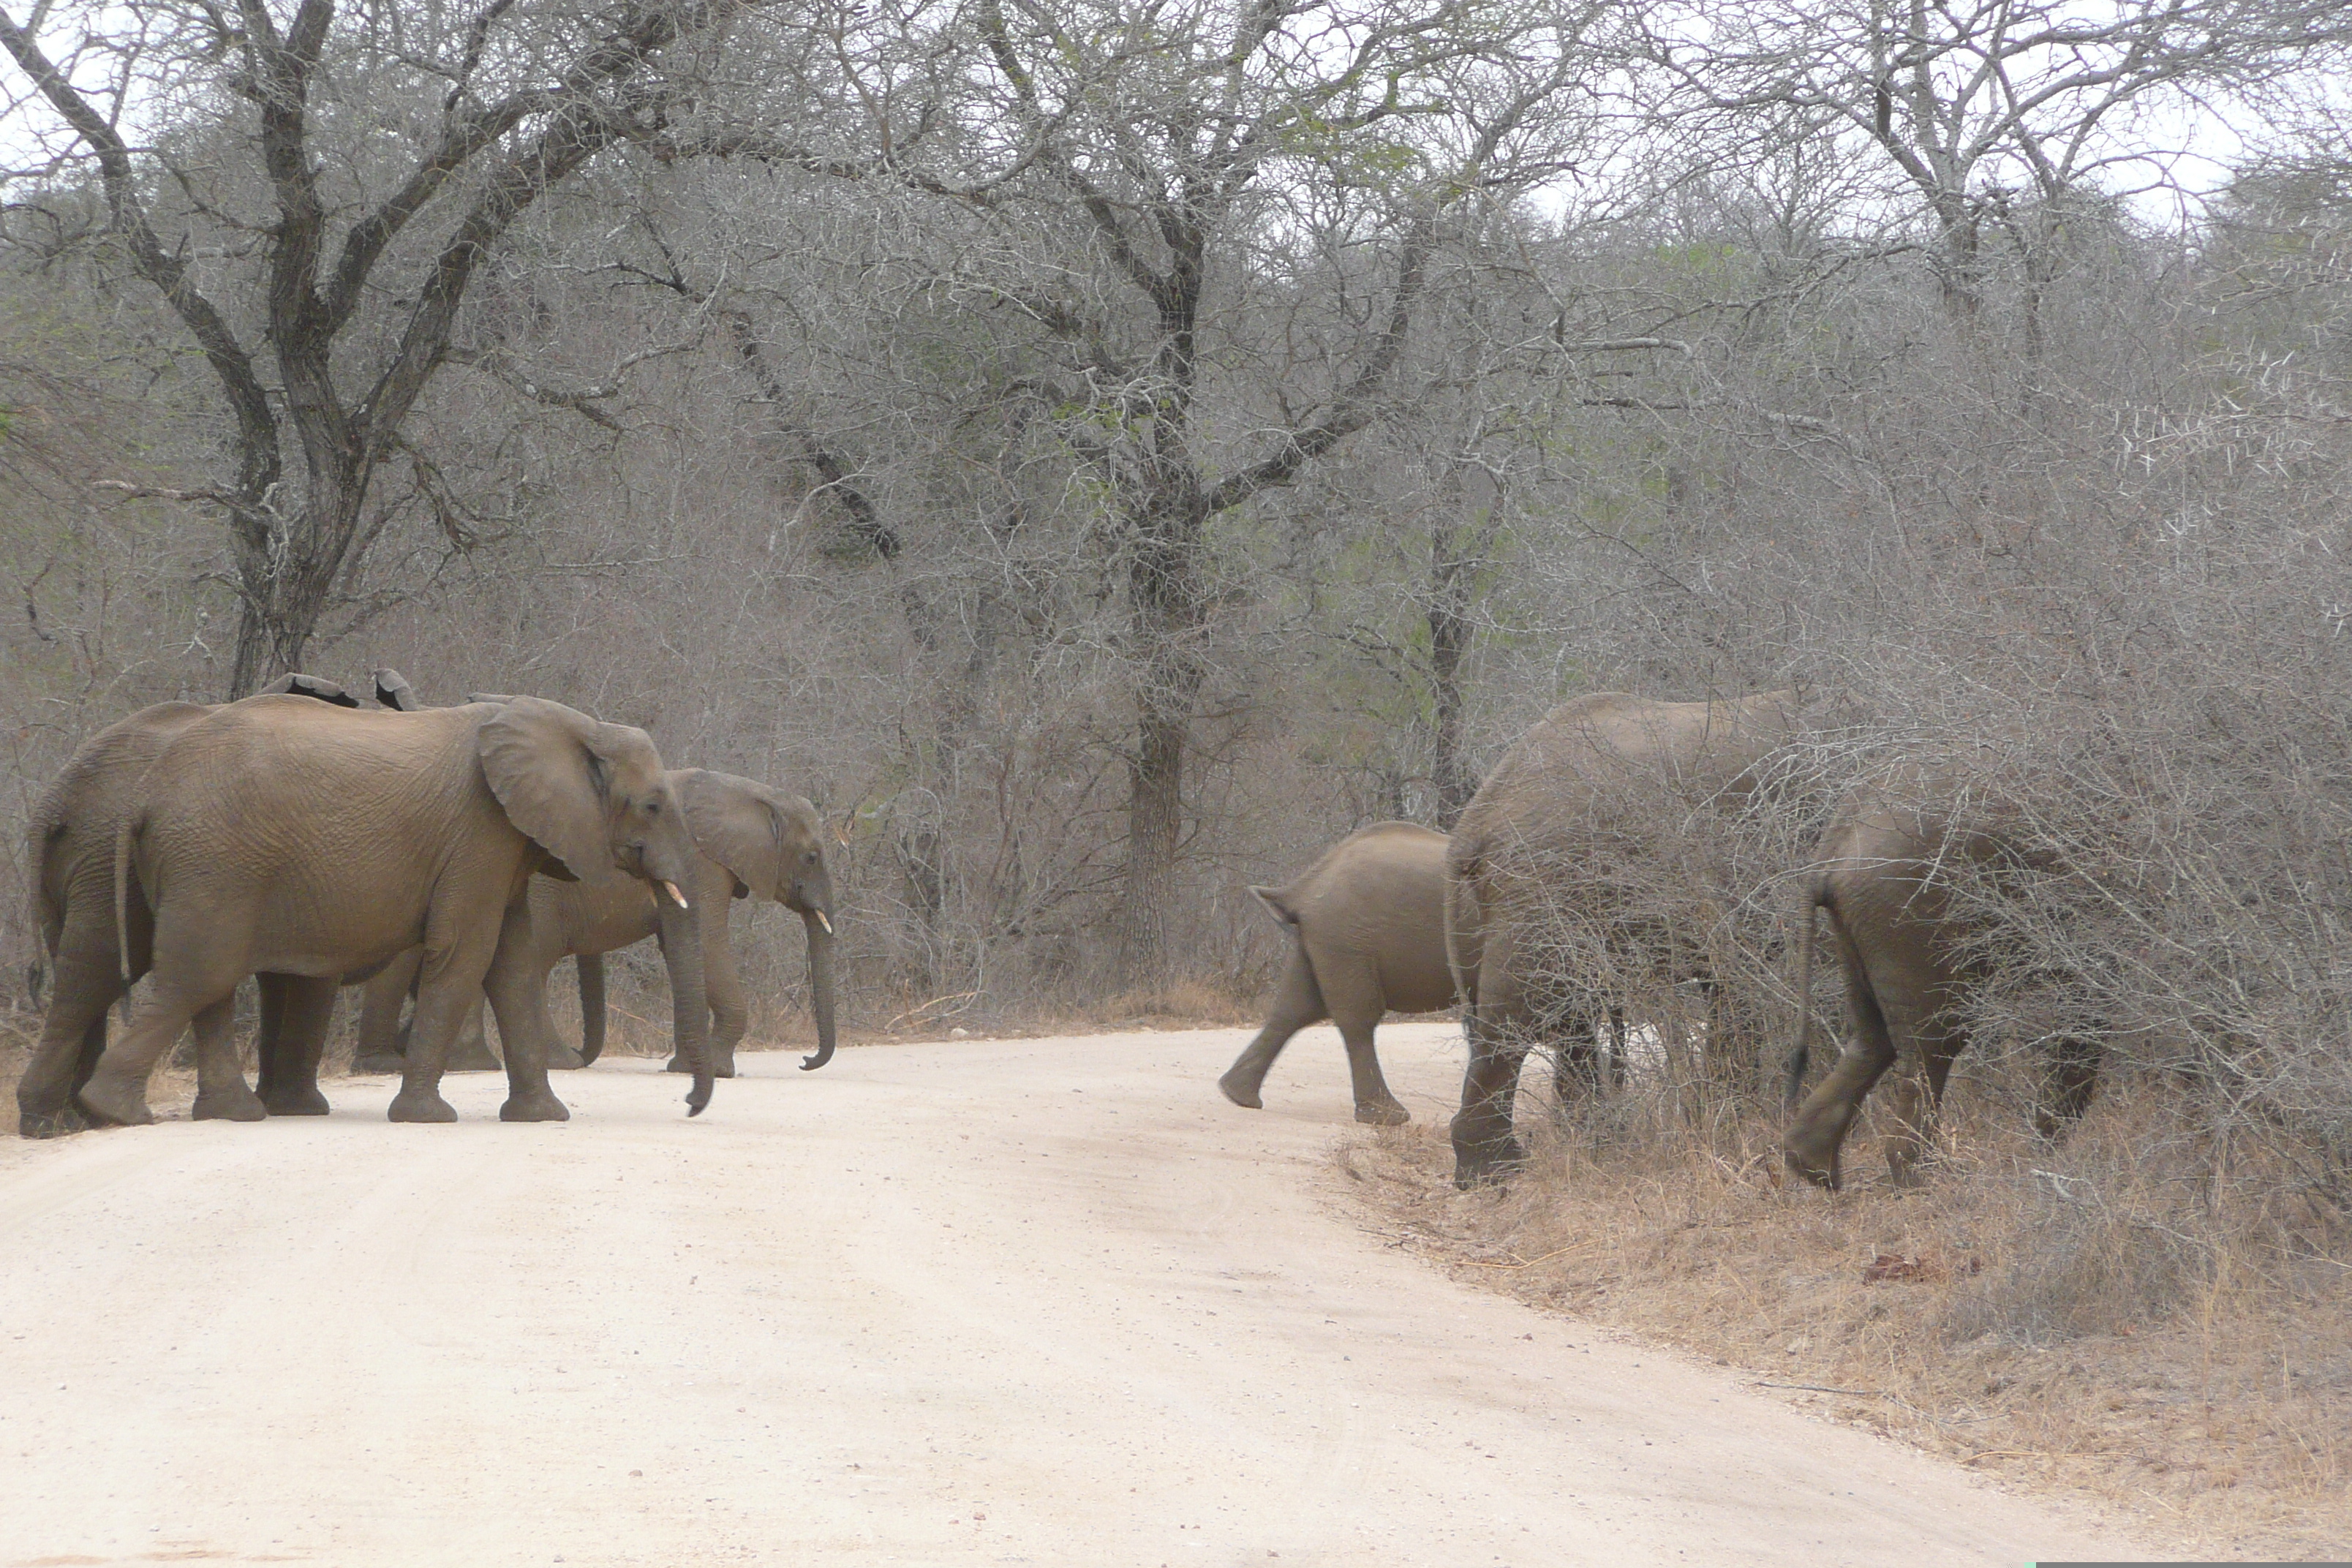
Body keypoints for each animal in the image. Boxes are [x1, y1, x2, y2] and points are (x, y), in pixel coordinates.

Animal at [78, 691, 715, 1123]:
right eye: (653, 806)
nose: (686, 1103)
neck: (578, 726)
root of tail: (146, 797)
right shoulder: (479, 833)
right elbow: (466, 954)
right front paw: (427, 1117)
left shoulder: (504, 844)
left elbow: (510, 964)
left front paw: (542, 1119)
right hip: (216, 862)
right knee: (199, 973)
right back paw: (113, 1111)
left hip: (207, 865)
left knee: (208, 981)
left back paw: (227, 1114)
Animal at [1213, 823, 1449, 1128]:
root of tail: (1303, 887)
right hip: (1346, 938)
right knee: (1356, 1016)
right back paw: (1388, 1118)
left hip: (1323, 938)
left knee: (1294, 1008)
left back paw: (1237, 1096)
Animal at [1768, 771, 2107, 1189]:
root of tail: (1829, 854)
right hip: (1911, 912)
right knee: (1935, 1041)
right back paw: (1923, 1179)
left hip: (1860, 922)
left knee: (1872, 1038)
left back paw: (1814, 1169)